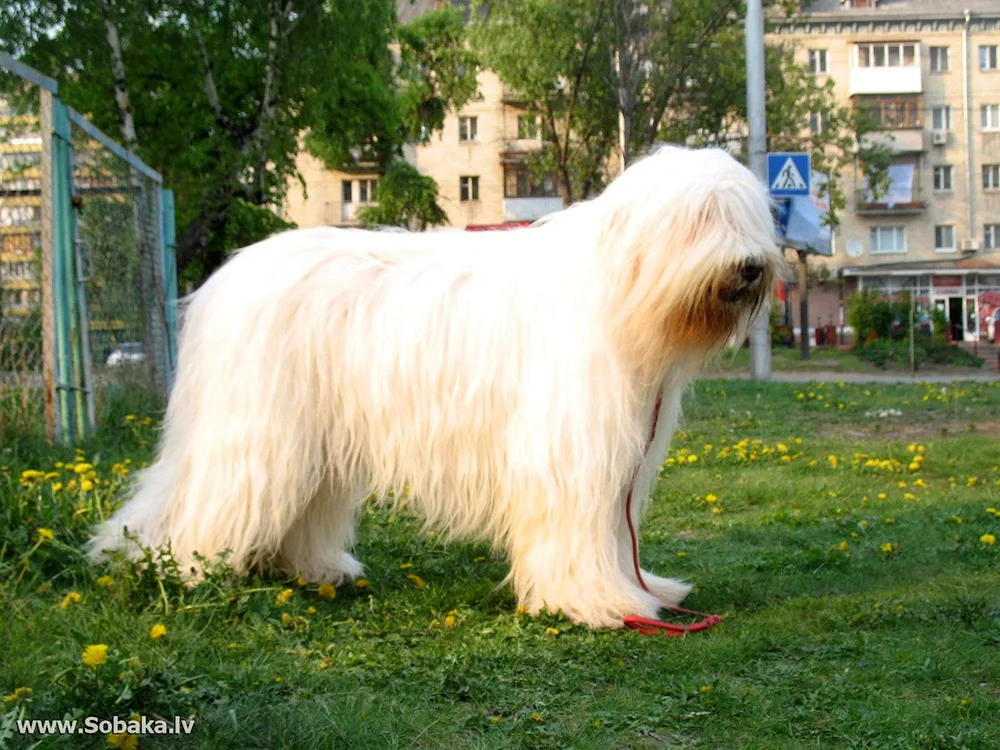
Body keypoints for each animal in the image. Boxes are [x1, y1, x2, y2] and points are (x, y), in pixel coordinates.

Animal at [90, 145, 780, 628]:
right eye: (700, 218)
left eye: (746, 215)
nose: (751, 267)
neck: (620, 290)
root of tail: (218, 284)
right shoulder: (571, 447)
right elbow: (577, 527)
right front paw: (598, 602)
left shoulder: (622, 456)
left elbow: (616, 531)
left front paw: (640, 589)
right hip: (256, 431)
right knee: (209, 500)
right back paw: (186, 570)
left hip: (312, 438)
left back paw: (317, 569)